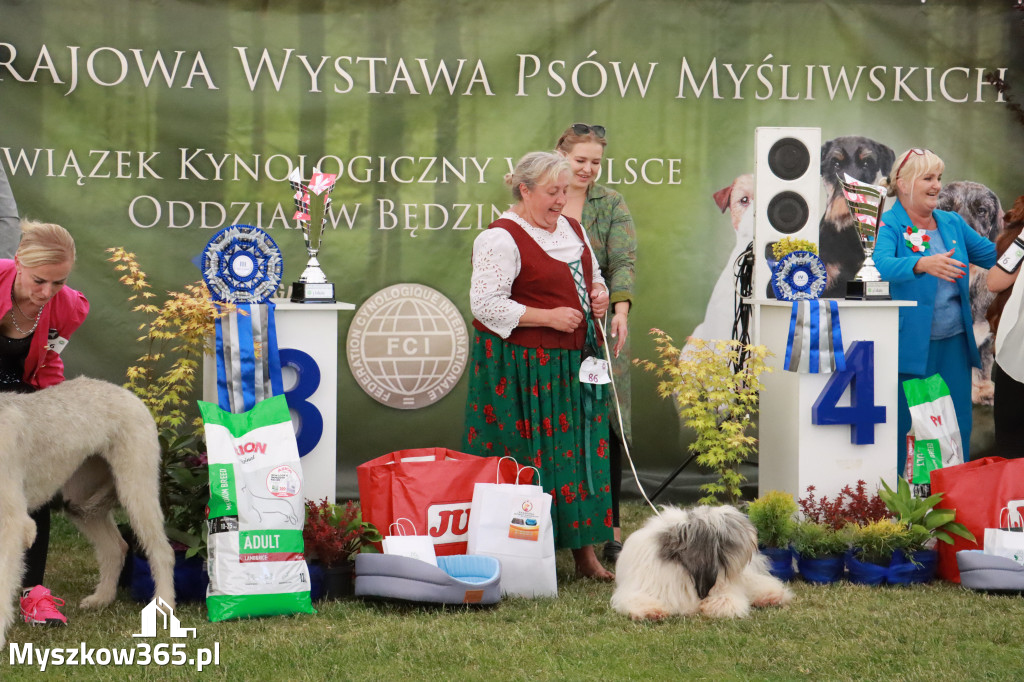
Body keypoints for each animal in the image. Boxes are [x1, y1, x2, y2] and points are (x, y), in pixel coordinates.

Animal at [0, 374, 176, 647]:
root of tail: (122, 390)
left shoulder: (12, 524)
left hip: (136, 490)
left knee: (162, 550)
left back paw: (164, 603)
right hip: (81, 501)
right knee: (116, 547)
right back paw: (101, 598)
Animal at [606, 501, 790, 618]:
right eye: (732, 535)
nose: (754, 534)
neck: (683, 567)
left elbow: (727, 597)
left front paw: (720, 606)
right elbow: (638, 599)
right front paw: (652, 611)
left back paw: (770, 596)